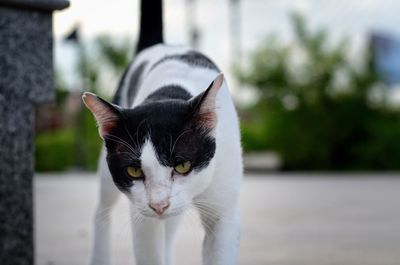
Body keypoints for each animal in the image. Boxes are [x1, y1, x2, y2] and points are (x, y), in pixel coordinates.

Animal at [82, 0, 241, 264]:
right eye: (134, 171)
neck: (169, 91)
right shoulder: (143, 219)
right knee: (101, 212)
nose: (159, 205)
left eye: (183, 166)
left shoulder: (223, 212)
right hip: (106, 178)